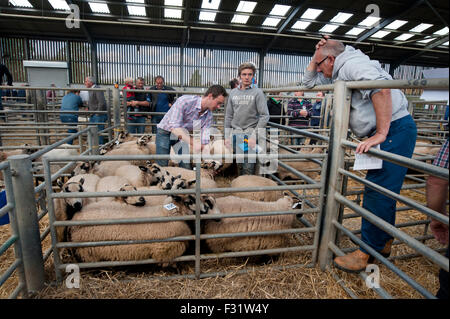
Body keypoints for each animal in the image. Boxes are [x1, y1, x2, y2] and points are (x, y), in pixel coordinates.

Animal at [68, 195, 220, 264]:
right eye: (189, 201)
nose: (205, 209)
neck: (167, 213)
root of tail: (73, 221)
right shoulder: (166, 249)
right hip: (88, 252)